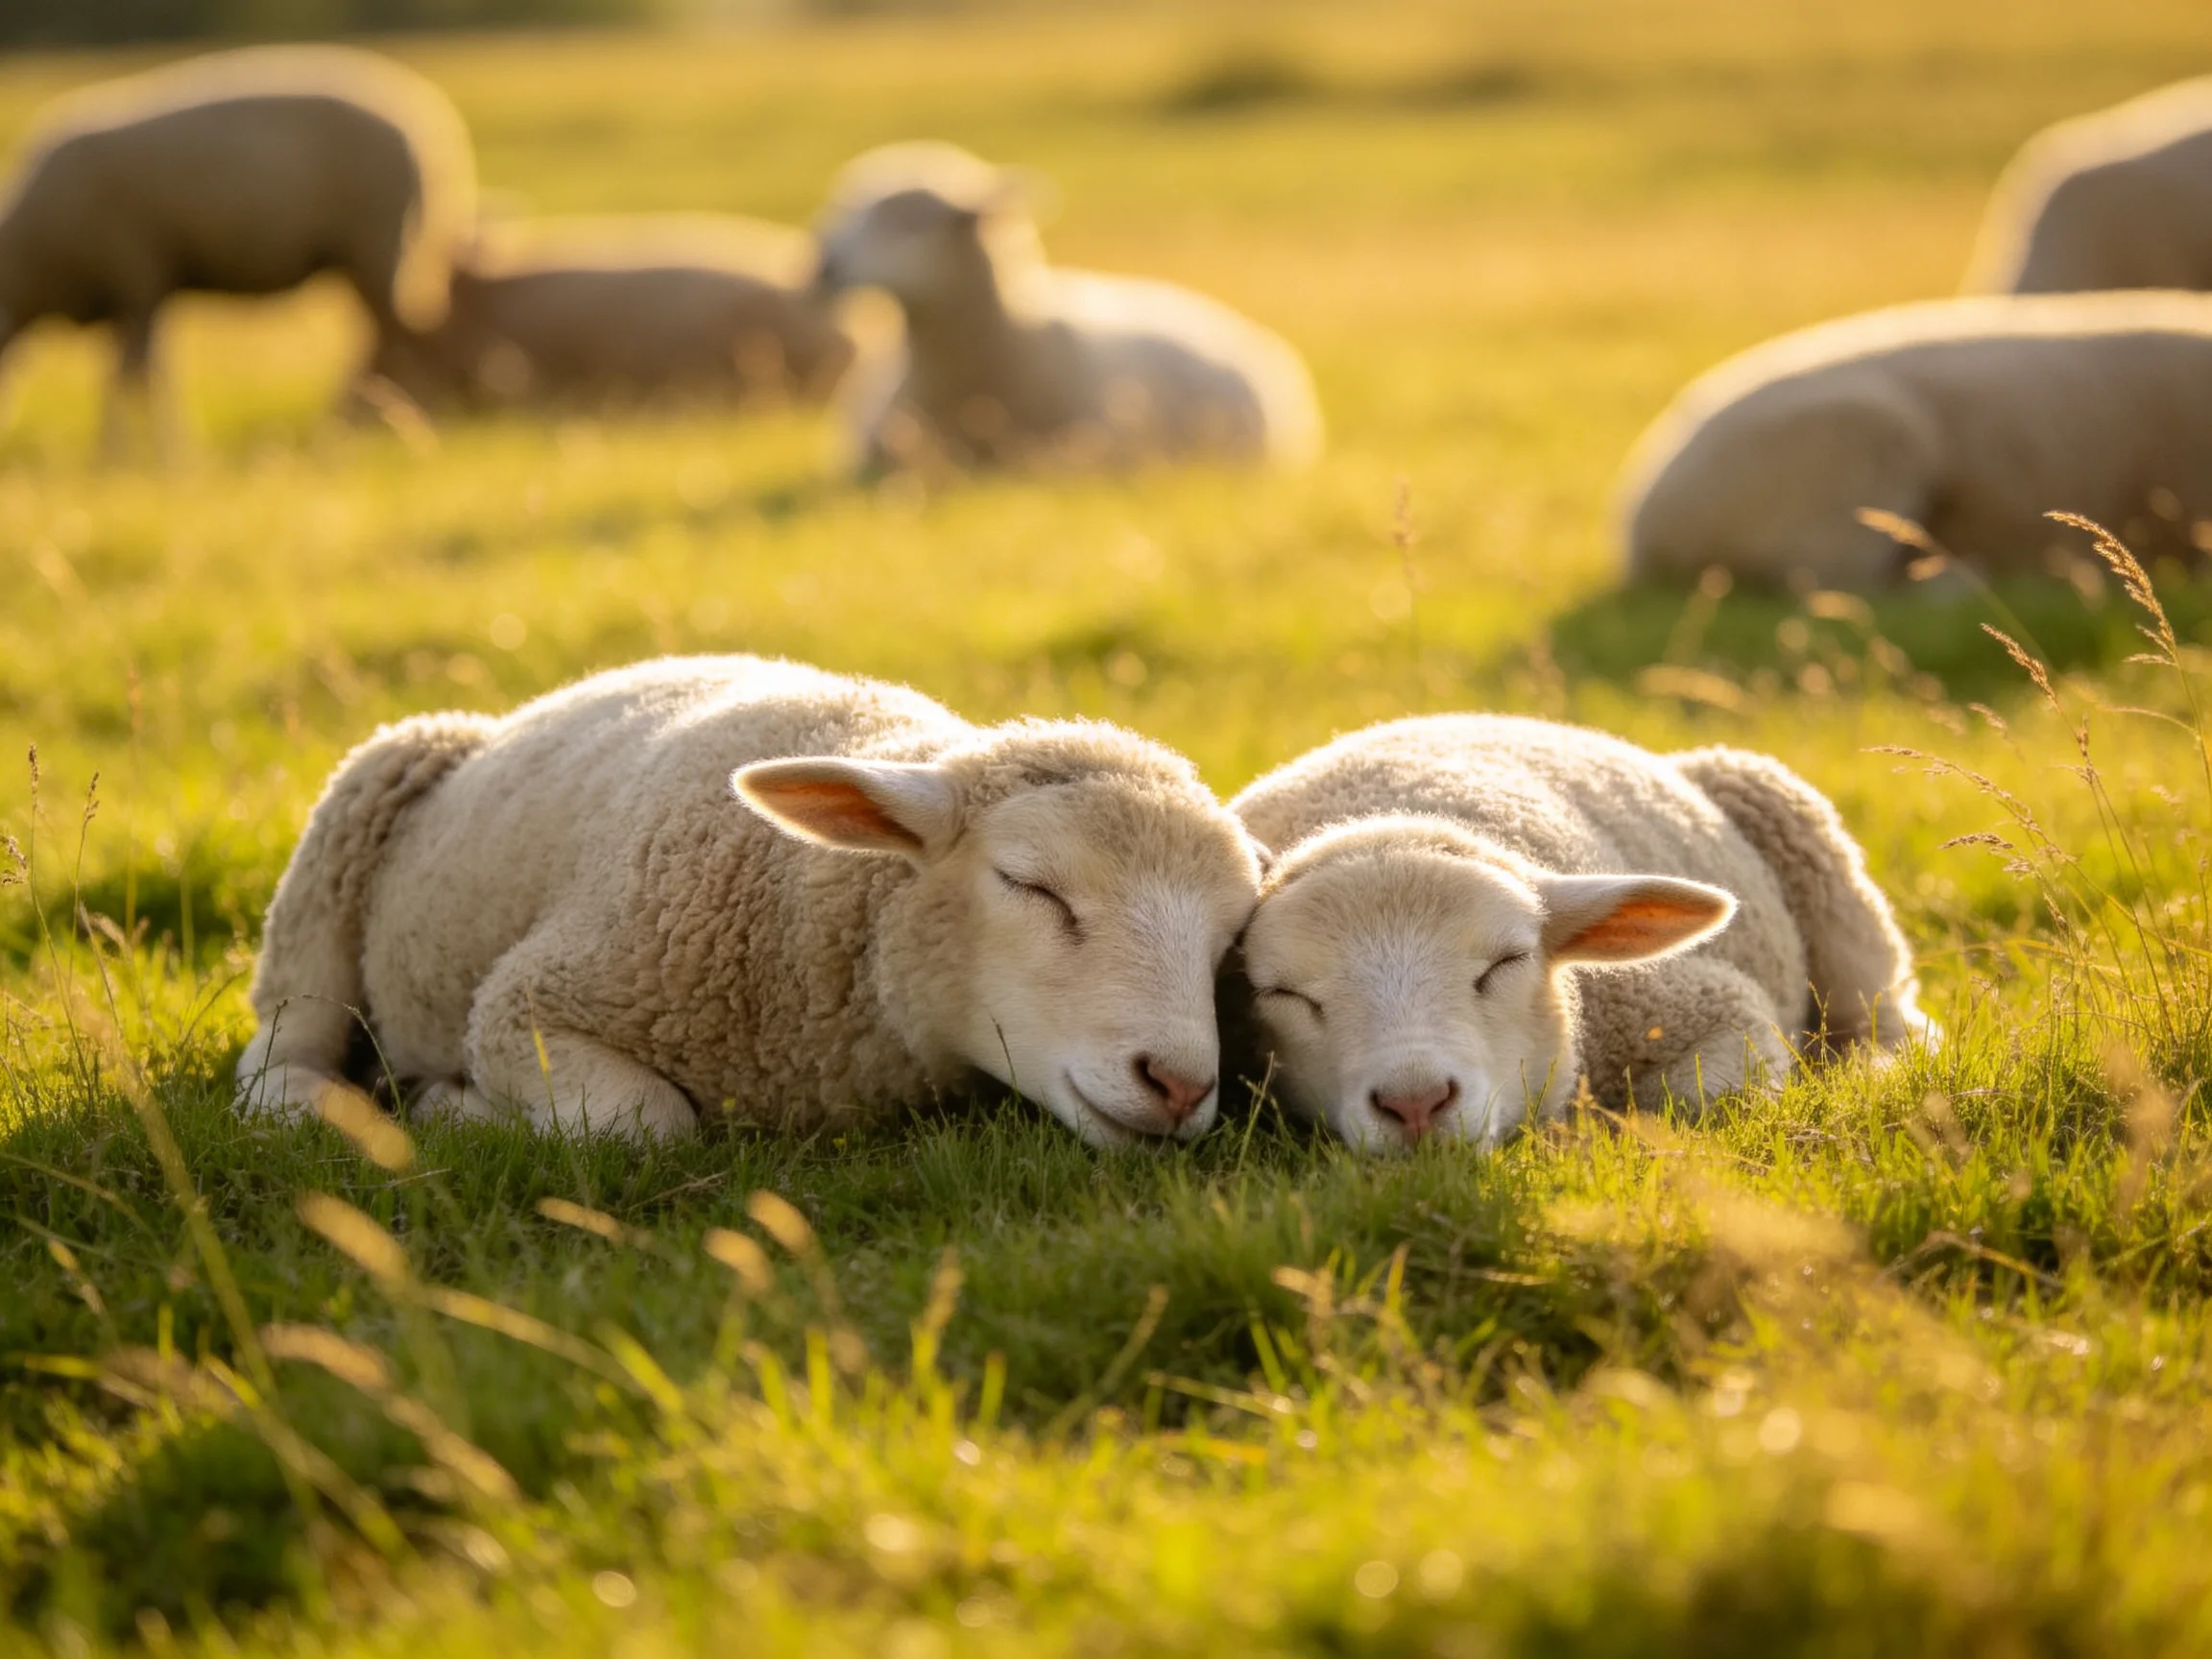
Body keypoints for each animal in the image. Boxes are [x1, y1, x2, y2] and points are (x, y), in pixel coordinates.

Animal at [0, 45, 475, 449]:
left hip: (380, 246)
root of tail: (432, 129)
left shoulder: (136, 277)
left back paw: (376, 421)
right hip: (369, 257)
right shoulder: (145, 290)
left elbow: (130, 375)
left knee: (398, 341)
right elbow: (152, 371)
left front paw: (127, 452)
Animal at [233, 655, 1263, 1149]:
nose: (1180, 1086)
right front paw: (454, 1109)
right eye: (1030, 885)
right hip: (347, 833)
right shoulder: (524, 1003)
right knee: (278, 1050)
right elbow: (639, 1126)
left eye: (1228, 943)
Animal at [1228, 715, 1929, 1152]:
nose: (1416, 1103)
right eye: (1284, 995)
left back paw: (1875, 1069)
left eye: (1506, 962)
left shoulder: (1713, 1005)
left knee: (1885, 1013)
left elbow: (1695, 1103)